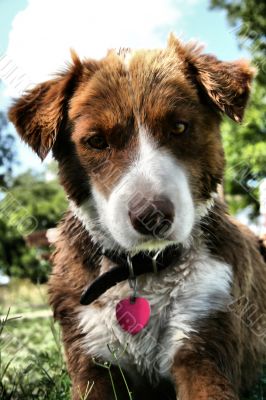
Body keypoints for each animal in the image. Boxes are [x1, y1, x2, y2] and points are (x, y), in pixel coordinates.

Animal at [8, 35, 266, 400]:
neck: (141, 271)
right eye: (96, 141)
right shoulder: (91, 359)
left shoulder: (203, 344)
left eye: (179, 127)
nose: (152, 217)